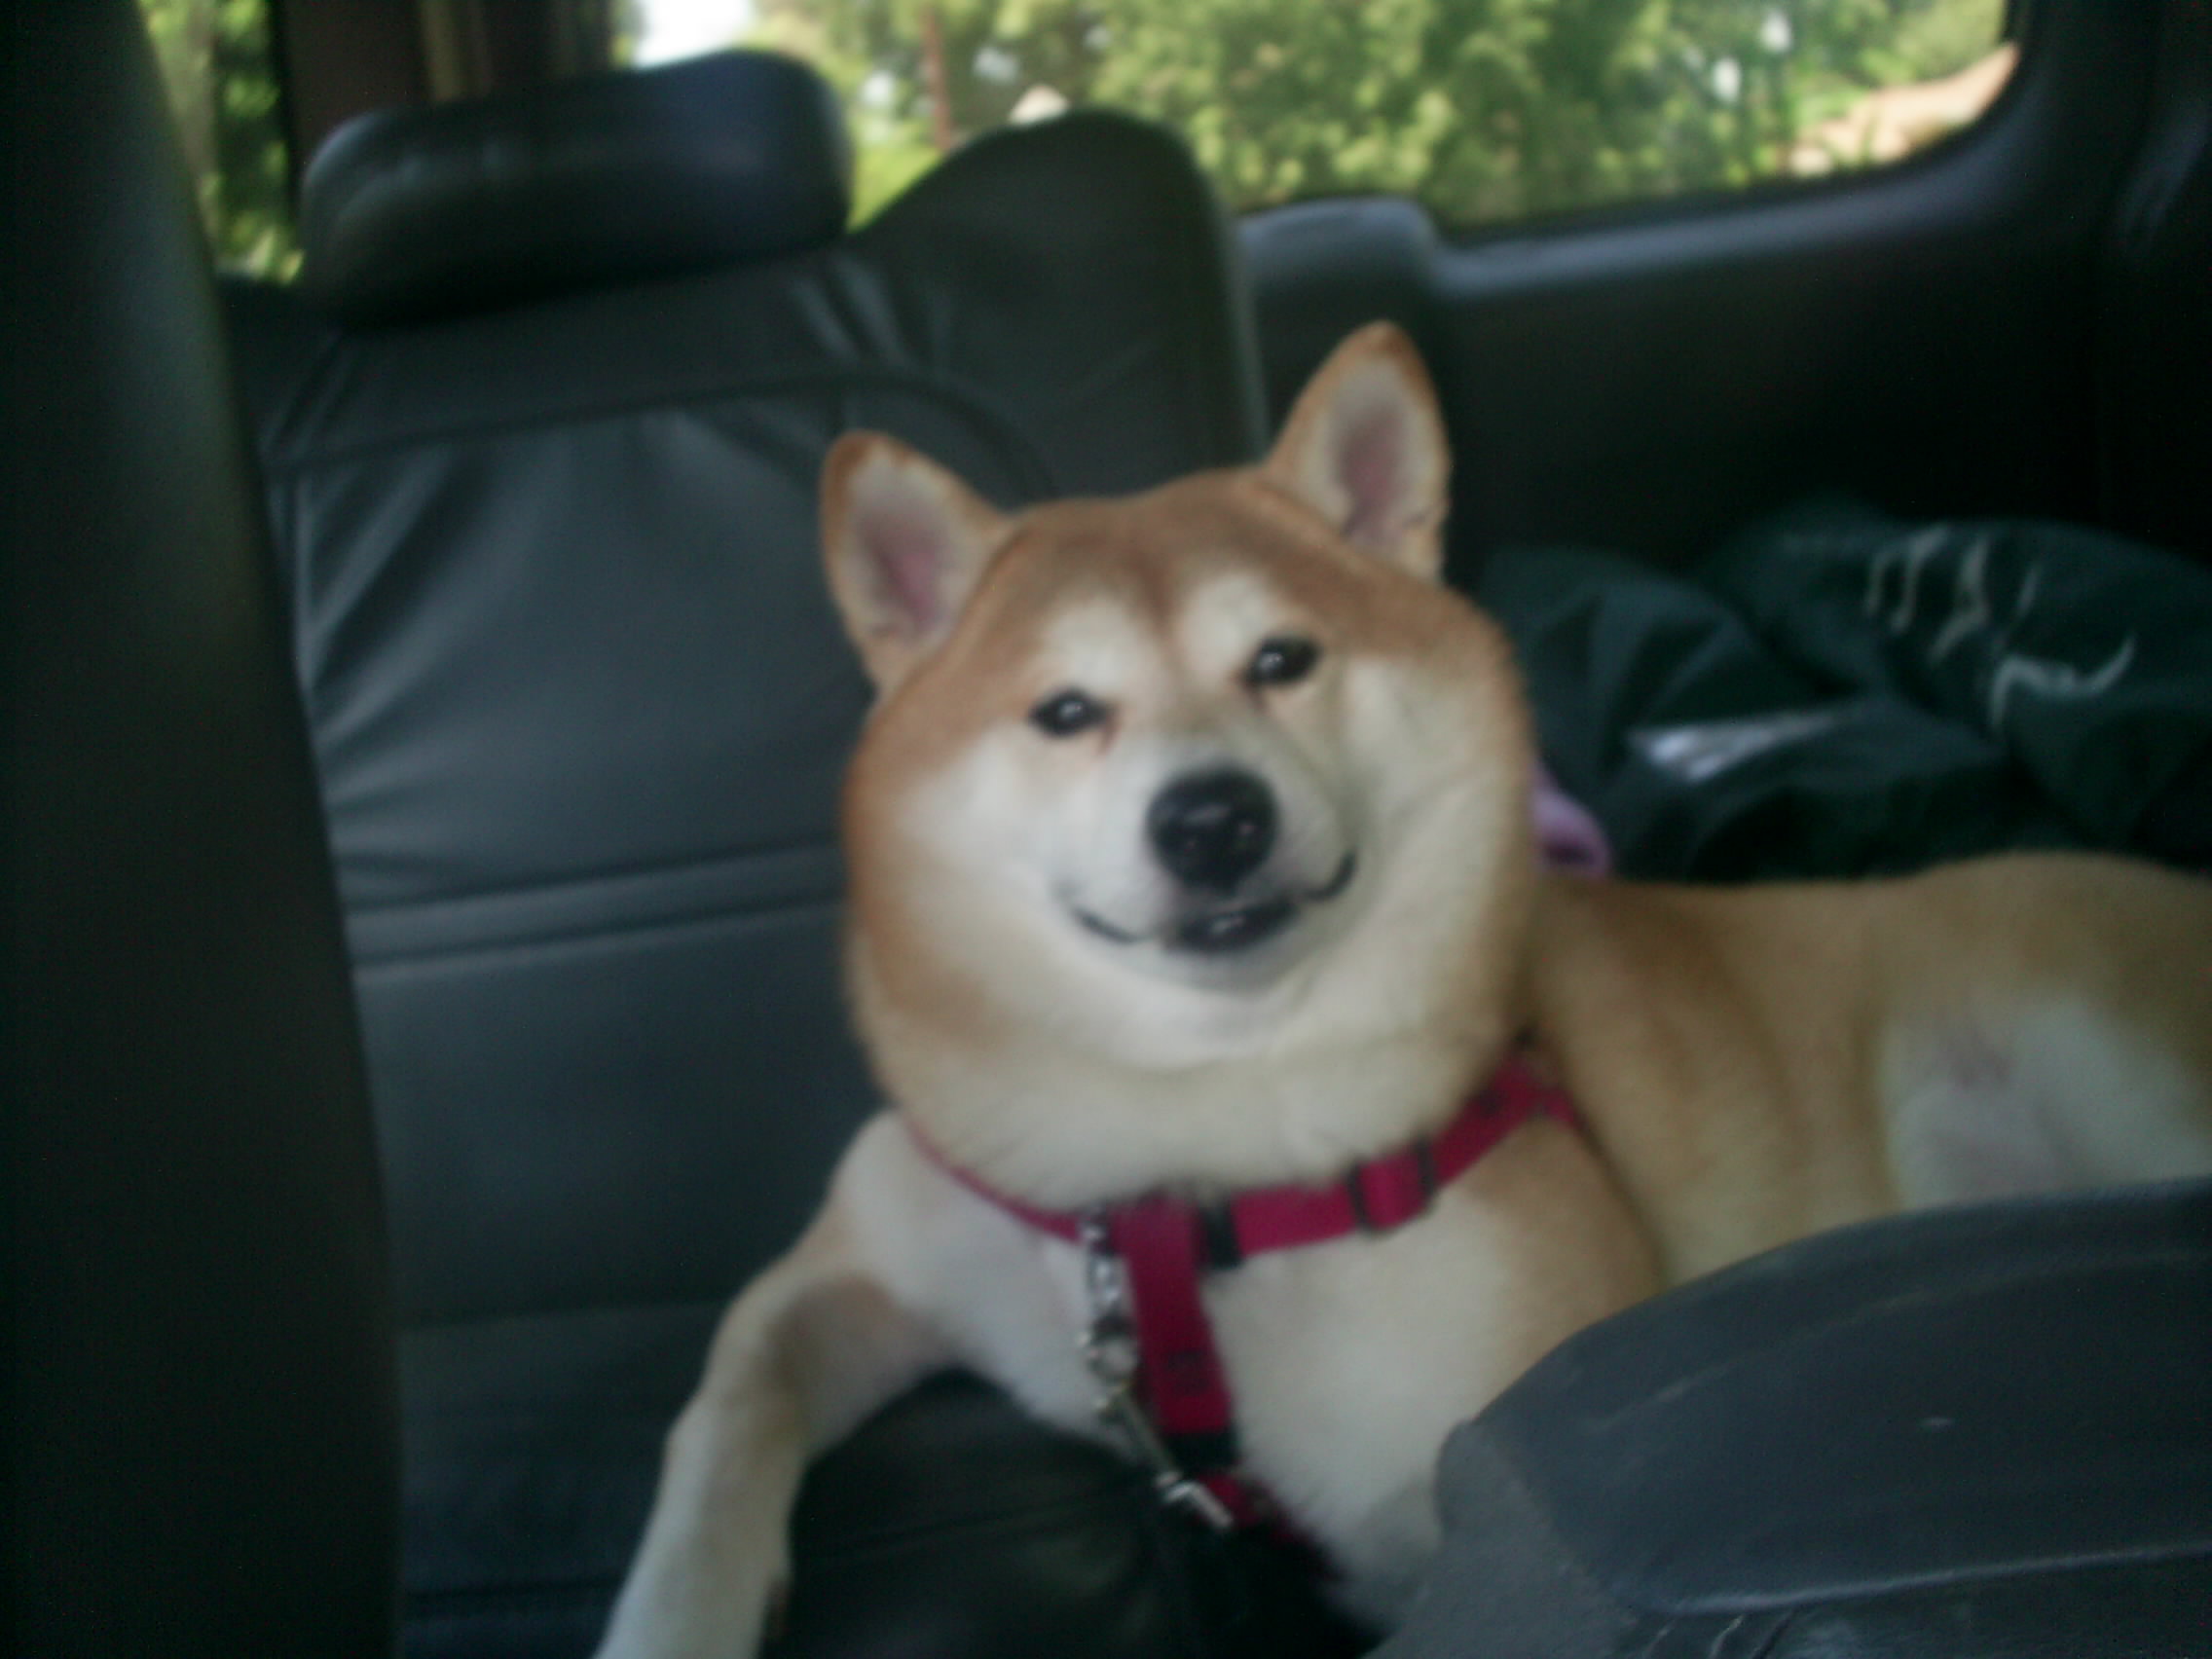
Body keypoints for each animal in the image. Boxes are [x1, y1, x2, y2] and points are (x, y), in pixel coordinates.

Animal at [596, 323, 2212, 1656]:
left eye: (1281, 659)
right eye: (1065, 710)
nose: (1213, 818)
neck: (1195, 1168)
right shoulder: (869, 1258)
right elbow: (713, 1421)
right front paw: (672, 1622)